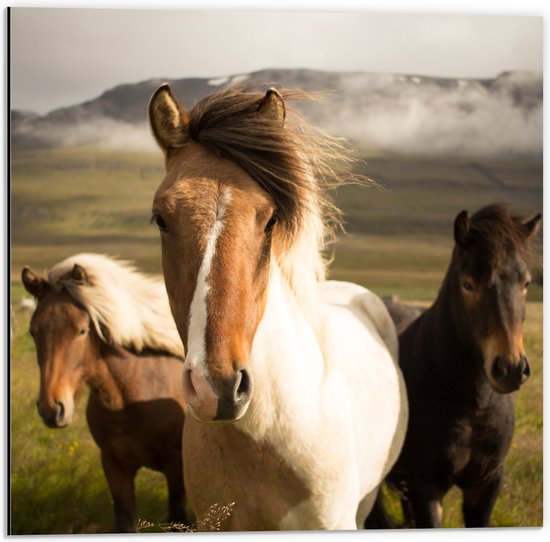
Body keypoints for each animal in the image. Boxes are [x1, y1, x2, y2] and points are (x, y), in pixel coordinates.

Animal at [21, 255, 189, 536]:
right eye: (33, 331)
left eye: (81, 330)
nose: (51, 409)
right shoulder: (114, 466)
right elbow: (125, 521)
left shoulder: (176, 467)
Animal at [388, 204, 544, 528]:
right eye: (468, 284)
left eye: (525, 283)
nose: (510, 368)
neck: (472, 406)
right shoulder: (425, 486)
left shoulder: (487, 484)